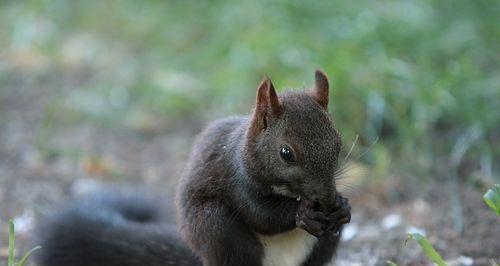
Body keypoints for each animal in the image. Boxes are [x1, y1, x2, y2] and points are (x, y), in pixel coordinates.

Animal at [34, 70, 352, 266]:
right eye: (286, 154)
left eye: (338, 143)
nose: (326, 198)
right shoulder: (235, 177)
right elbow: (261, 214)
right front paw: (301, 213)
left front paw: (343, 206)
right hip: (219, 229)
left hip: (323, 245)